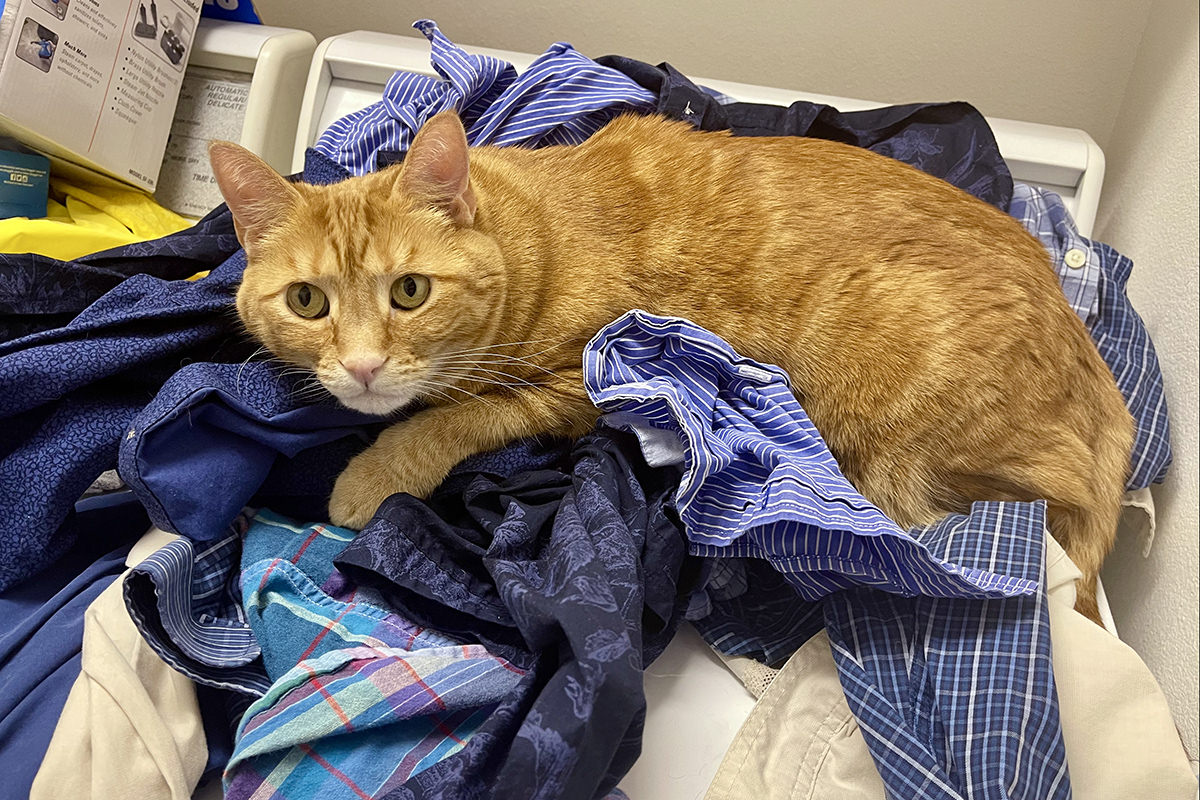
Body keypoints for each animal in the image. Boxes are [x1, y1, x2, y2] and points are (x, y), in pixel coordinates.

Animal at [208, 110, 1132, 618]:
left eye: (408, 291)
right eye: (307, 302)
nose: (363, 367)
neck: (527, 230)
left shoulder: (589, 379)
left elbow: (462, 415)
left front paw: (376, 471)